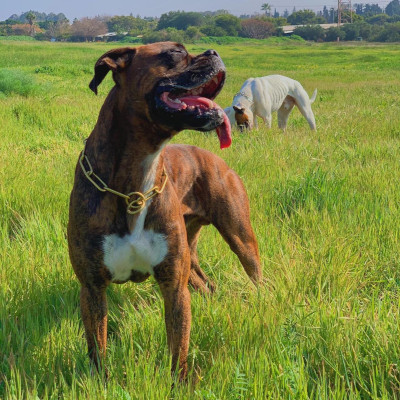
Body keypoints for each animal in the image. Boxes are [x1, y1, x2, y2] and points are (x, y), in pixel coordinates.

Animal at [68, 40, 262, 382]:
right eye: (173, 53)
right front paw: (101, 383)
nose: (213, 52)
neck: (133, 187)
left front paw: (179, 384)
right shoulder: (92, 289)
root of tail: (216, 159)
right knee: (206, 284)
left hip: (240, 238)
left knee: (255, 274)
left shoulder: (174, 287)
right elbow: (98, 349)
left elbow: (178, 348)